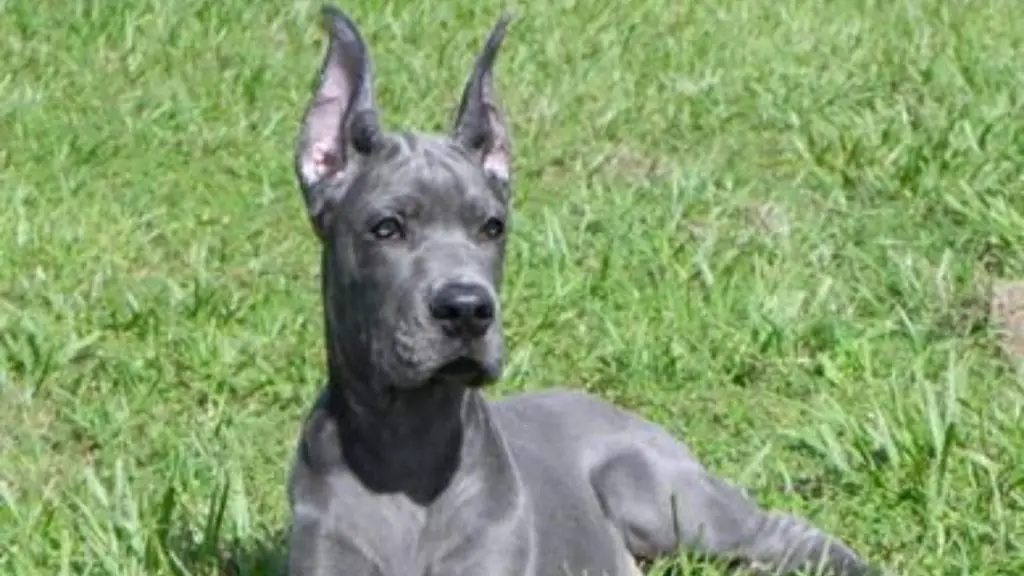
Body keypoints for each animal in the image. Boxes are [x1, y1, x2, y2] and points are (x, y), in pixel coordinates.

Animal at [284, 5, 884, 573]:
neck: (407, 444)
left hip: (658, 494)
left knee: (782, 530)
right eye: (386, 228)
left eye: (492, 227)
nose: (467, 309)